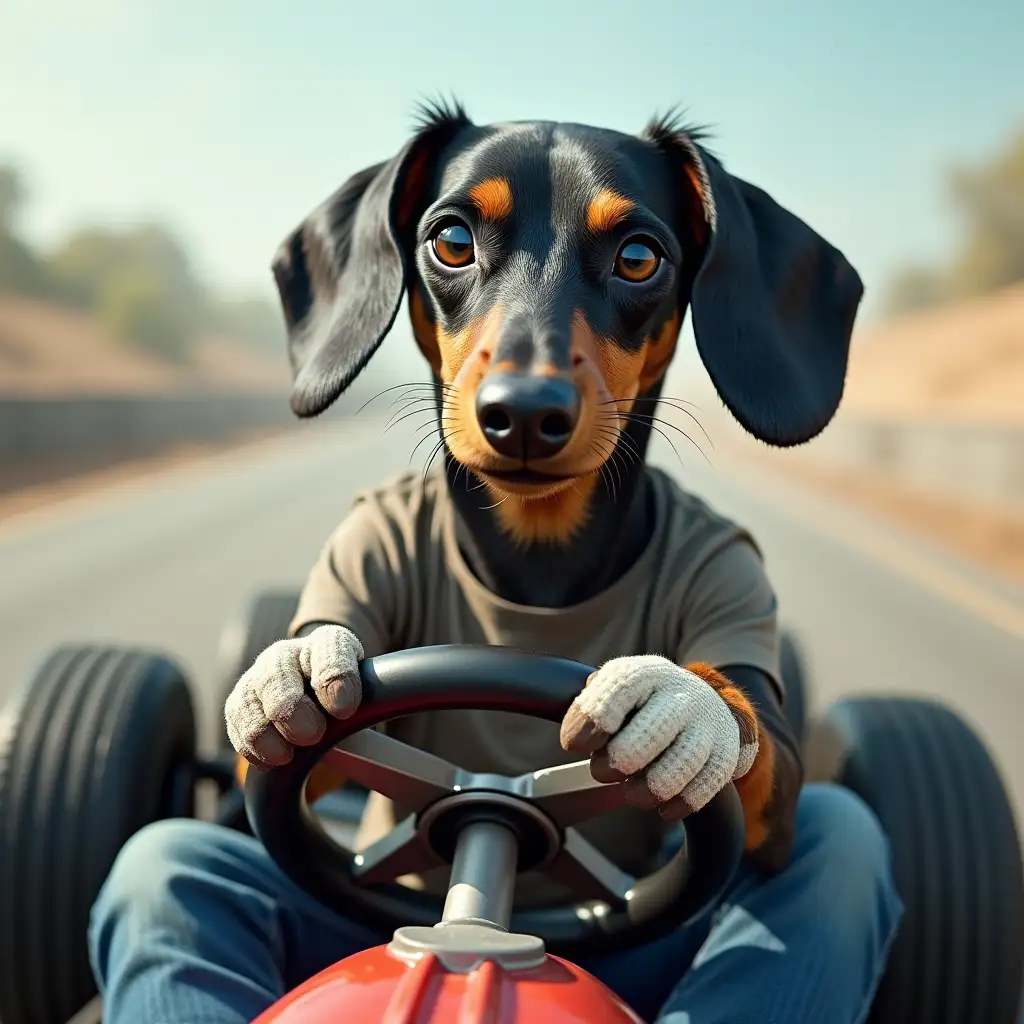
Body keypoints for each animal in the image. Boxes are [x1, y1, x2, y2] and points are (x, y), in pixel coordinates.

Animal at [228, 97, 860, 880]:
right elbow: (292, 744)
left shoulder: (733, 578)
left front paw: (693, 702)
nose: (524, 413)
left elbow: (764, 747)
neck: (538, 558)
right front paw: (292, 668)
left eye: (639, 257)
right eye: (452, 240)